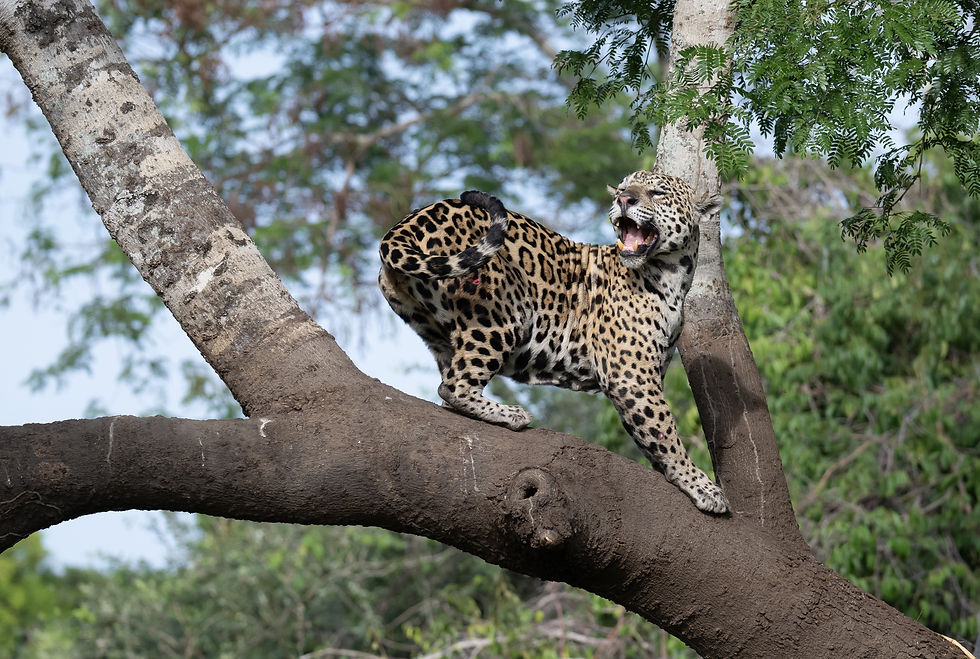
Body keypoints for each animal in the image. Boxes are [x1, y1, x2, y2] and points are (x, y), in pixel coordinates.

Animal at [377, 171, 729, 513]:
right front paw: (702, 486)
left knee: (448, 386)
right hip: (500, 314)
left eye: (657, 193)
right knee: (454, 386)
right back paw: (511, 414)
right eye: (624, 188)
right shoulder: (631, 376)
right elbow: (663, 430)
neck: (674, 278)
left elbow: (649, 434)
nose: (624, 200)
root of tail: (407, 222)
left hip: (435, 329)